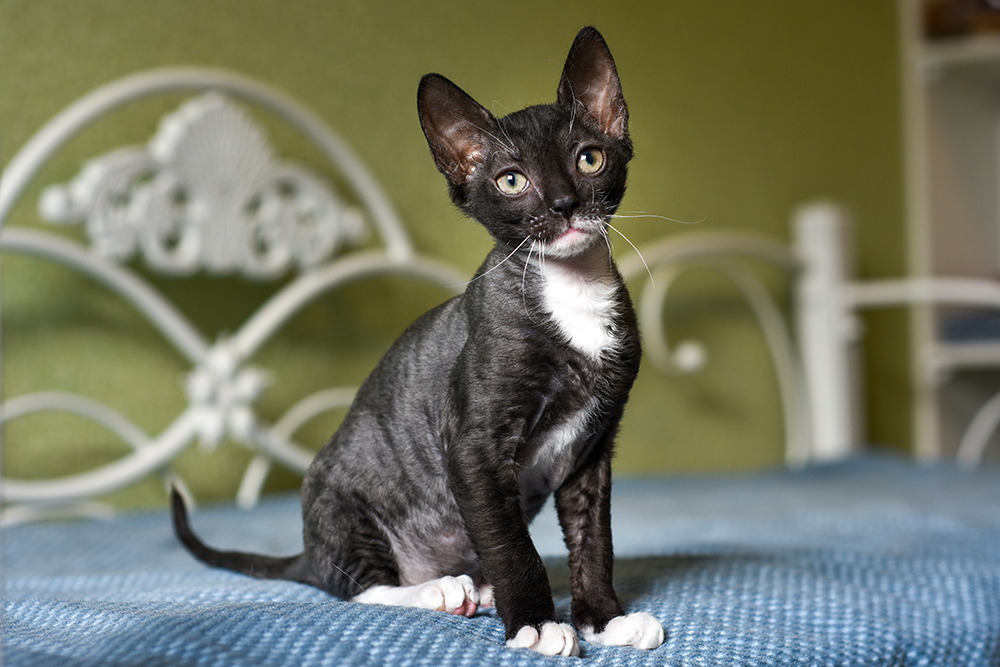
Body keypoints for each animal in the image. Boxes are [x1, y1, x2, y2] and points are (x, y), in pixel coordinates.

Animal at [172, 27, 664, 656]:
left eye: (589, 158)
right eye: (511, 180)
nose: (563, 204)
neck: (572, 290)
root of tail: (308, 553)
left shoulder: (591, 451)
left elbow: (592, 540)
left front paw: (603, 619)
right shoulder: (475, 450)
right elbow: (514, 547)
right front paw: (536, 624)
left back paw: (476, 588)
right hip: (342, 502)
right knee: (354, 588)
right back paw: (438, 591)